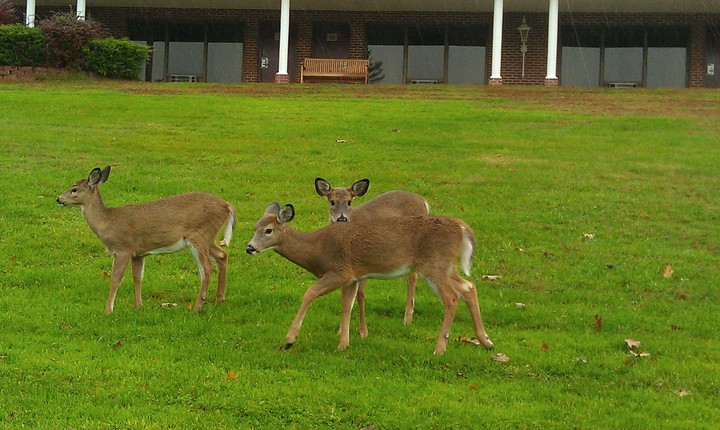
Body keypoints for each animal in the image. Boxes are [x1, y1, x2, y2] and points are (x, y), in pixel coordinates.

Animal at [56, 166, 235, 314]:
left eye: (74, 189)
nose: (58, 199)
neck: (107, 222)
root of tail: (227, 206)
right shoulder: (138, 253)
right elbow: (137, 277)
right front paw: (138, 306)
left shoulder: (123, 249)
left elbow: (115, 279)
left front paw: (108, 310)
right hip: (208, 238)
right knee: (222, 255)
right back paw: (219, 300)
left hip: (199, 235)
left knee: (206, 269)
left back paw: (197, 307)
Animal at [246, 202, 493, 355]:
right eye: (255, 227)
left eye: (268, 230)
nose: (250, 247)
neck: (316, 248)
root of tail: (462, 228)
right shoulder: (353, 277)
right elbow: (347, 305)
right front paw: (344, 344)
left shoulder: (340, 270)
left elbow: (310, 293)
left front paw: (289, 341)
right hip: (446, 266)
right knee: (469, 287)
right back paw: (486, 341)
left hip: (434, 264)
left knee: (451, 297)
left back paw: (440, 348)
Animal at [314, 178, 429, 337]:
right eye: (332, 201)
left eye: (349, 201)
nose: (341, 219)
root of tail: (424, 202)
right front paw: (340, 330)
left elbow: (360, 295)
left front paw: (363, 331)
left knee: (413, 277)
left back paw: (407, 319)